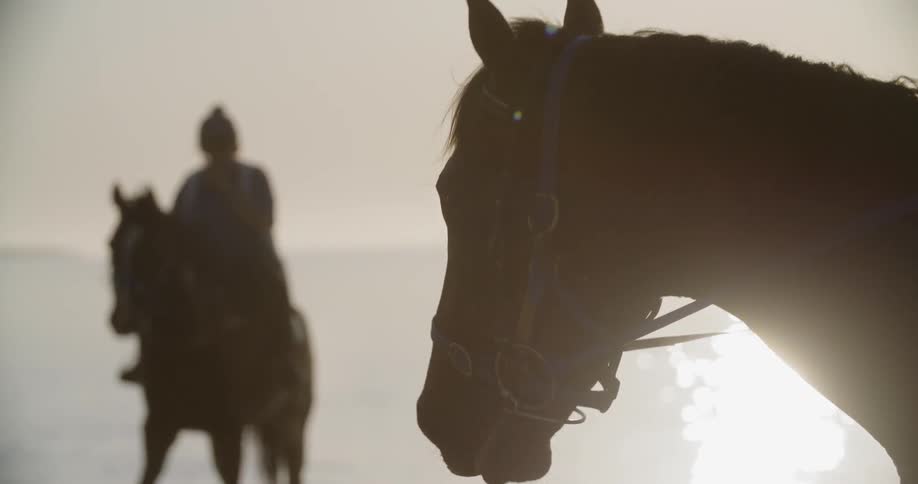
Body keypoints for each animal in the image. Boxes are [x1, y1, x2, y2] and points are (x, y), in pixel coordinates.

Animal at [108, 186, 312, 484]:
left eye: (154, 250)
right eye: (112, 244)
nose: (122, 318)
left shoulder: (227, 431)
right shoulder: (158, 426)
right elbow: (147, 473)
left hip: (292, 422)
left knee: (293, 465)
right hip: (267, 424)